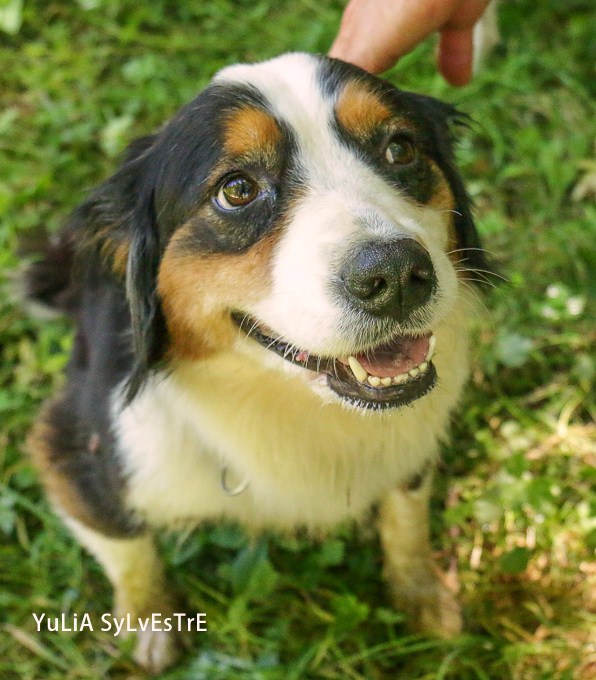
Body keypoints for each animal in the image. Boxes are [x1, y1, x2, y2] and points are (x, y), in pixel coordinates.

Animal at [25, 54, 488, 676]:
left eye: (399, 149)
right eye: (237, 189)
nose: (393, 276)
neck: (285, 402)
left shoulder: (411, 442)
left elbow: (406, 517)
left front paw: (421, 593)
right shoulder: (76, 453)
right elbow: (129, 552)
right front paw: (151, 622)